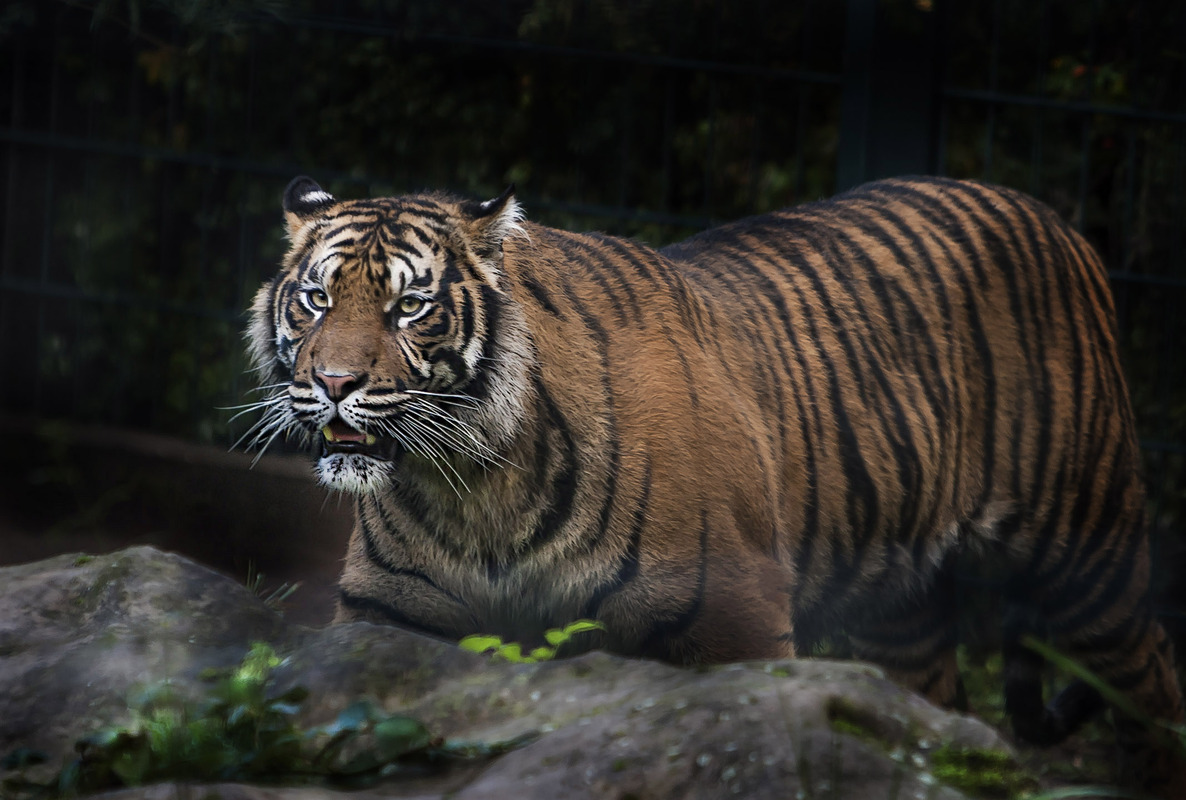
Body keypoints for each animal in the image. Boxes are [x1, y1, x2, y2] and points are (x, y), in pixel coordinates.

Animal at [246, 174, 1183, 792]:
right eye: (315, 299)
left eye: (409, 307)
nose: (332, 382)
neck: (473, 483)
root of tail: (1049, 213)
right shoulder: (392, 618)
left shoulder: (733, 622)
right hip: (902, 605)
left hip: (1085, 553)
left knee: (1151, 684)